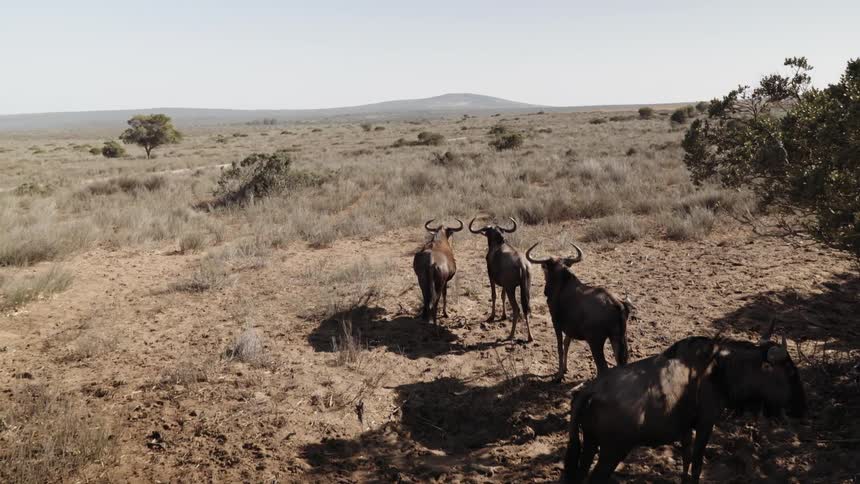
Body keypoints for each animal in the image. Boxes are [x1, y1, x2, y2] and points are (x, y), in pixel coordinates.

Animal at [526, 243, 631, 381]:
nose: (545, 291)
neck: (562, 283)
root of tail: (617, 304)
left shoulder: (556, 324)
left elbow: (560, 347)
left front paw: (559, 374)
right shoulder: (570, 328)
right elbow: (566, 344)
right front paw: (565, 368)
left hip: (596, 342)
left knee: (603, 368)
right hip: (619, 338)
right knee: (620, 364)